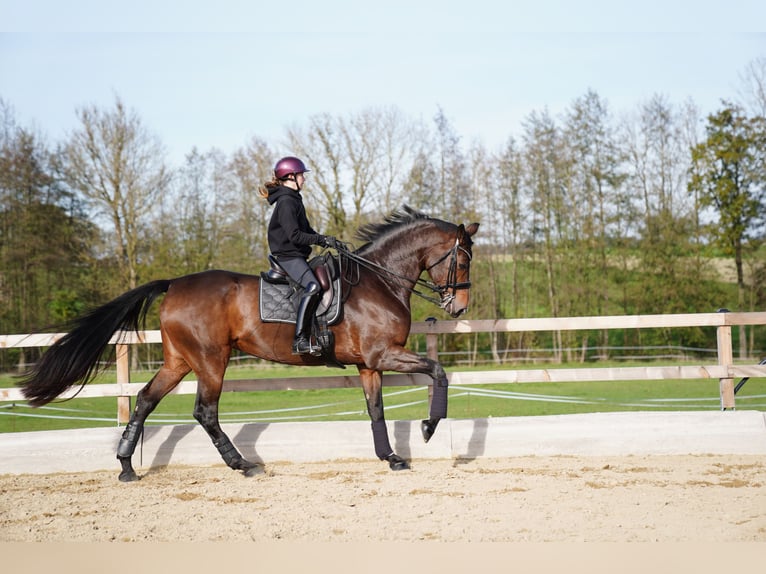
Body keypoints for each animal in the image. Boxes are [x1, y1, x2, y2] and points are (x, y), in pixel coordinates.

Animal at [19, 207, 480, 482]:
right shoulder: (383, 355)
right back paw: (242, 465)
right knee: (204, 412)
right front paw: (428, 427)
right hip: (210, 360)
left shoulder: (370, 364)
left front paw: (392, 457)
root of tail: (174, 284)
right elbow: (438, 371)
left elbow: (376, 411)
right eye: (462, 259)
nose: (458, 306)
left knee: (146, 399)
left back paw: (127, 466)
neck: (379, 280)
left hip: (179, 360)